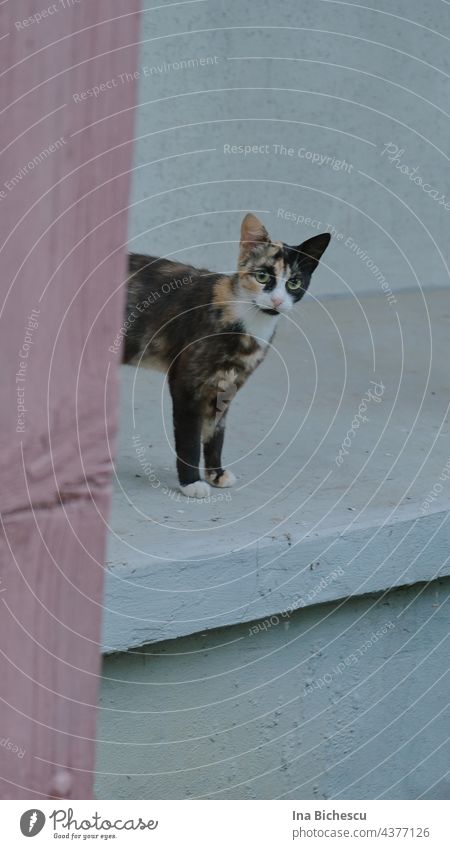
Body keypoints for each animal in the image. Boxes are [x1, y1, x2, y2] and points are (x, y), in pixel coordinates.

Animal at [123, 212, 330, 500]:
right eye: (262, 276)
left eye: (294, 282)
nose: (277, 301)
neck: (248, 321)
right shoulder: (186, 382)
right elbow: (189, 437)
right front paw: (191, 482)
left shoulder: (228, 385)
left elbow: (215, 432)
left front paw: (215, 475)